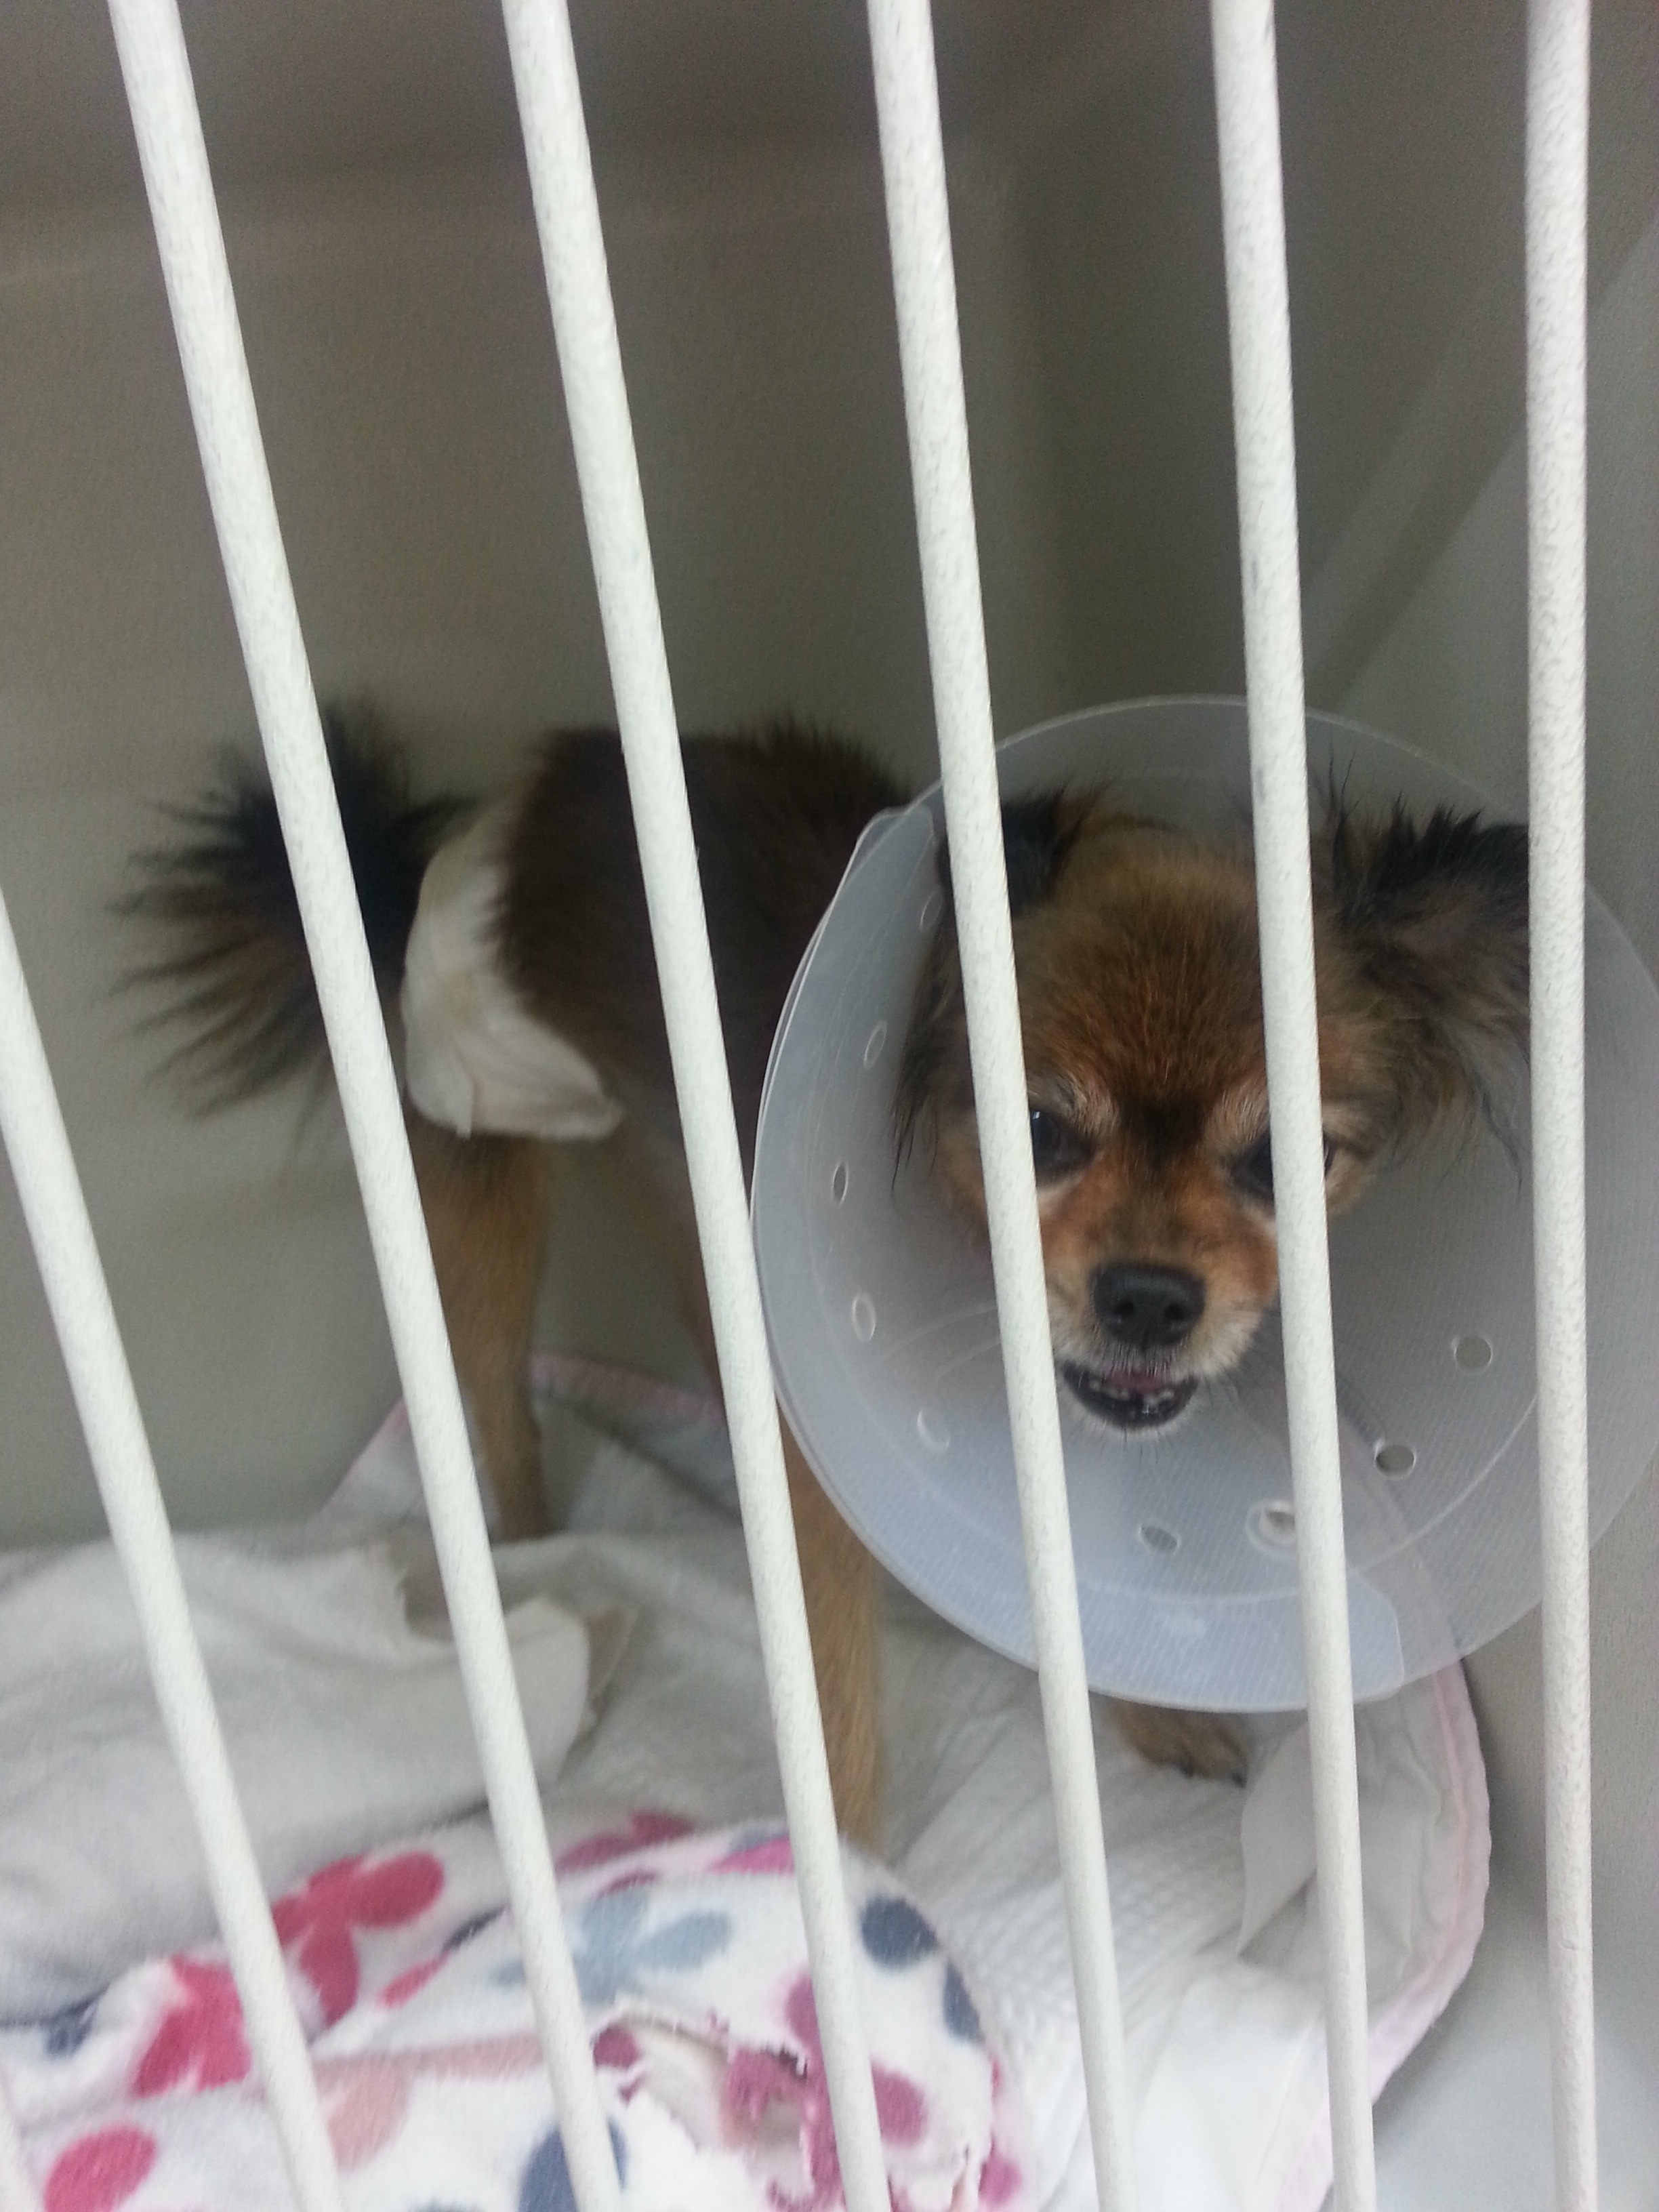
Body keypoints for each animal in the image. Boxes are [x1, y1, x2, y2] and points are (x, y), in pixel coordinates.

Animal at [124, 709, 1529, 1838]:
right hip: (488, 1165)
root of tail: (442, 844)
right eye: (1032, 1131)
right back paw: (531, 1541)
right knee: (498, 1397)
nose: (1148, 1295)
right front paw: (852, 1889)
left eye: (1289, 1159)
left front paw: (1141, 1717)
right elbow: (839, 1695)